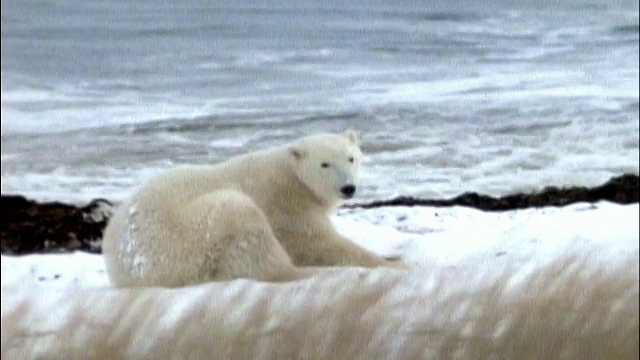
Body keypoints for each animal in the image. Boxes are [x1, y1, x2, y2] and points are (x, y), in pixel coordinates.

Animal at [104, 131, 404, 288]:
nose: (348, 188)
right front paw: (391, 263)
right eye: (324, 164)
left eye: (351, 158)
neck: (291, 175)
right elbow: (319, 243)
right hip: (189, 236)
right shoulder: (284, 206)